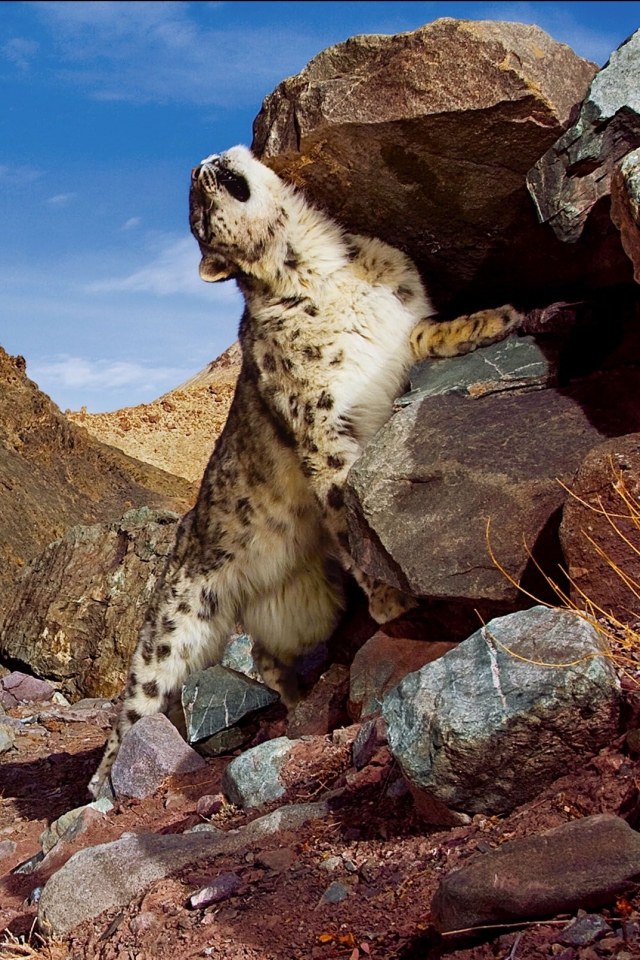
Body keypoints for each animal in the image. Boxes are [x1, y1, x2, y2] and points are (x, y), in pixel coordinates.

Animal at [89, 144, 520, 796]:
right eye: (197, 220)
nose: (197, 169)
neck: (324, 266)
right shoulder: (320, 425)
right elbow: (344, 501)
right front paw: (392, 599)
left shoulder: (397, 334)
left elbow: (426, 332)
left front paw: (495, 319)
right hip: (169, 633)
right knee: (136, 705)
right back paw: (103, 786)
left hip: (307, 603)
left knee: (267, 654)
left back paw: (294, 697)